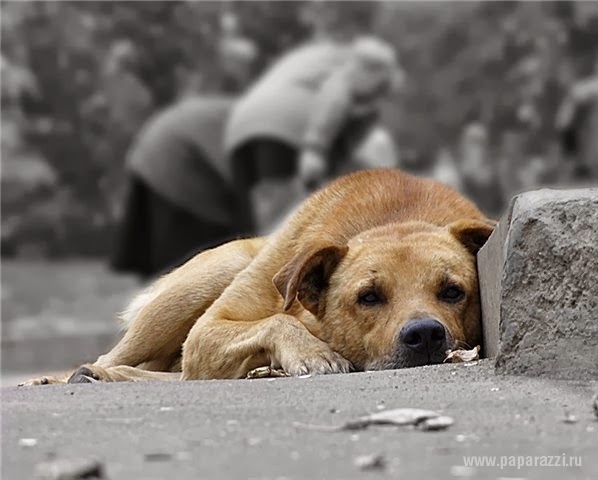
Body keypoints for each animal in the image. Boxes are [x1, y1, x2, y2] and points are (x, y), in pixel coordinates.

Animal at [21, 169, 494, 386]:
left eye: (453, 292)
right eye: (369, 296)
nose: (425, 335)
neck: (397, 218)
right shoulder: (208, 330)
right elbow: (277, 319)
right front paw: (312, 353)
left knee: (180, 376)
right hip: (205, 281)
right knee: (117, 357)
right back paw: (73, 376)